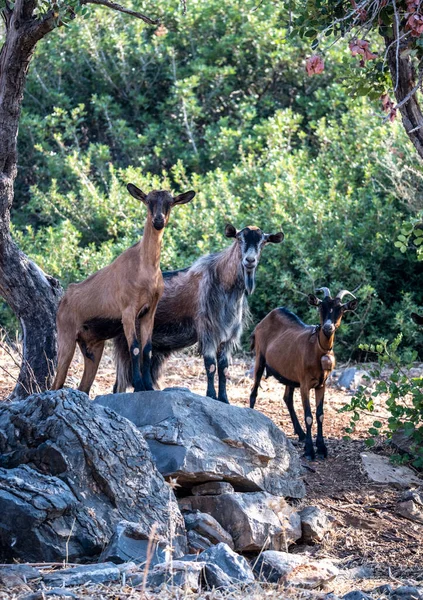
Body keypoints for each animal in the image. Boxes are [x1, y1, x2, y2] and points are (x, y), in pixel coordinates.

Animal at [51, 185, 195, 396]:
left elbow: (147, 349)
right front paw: (139, 385)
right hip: (66, 338)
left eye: (170, 203)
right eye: (148, 201)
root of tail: (63, 301)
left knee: (83, 387)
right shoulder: (128, 312)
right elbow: (134, 348)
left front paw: (148, 386)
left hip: (93, 347)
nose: (158, 221)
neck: (145, 268)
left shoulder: (148, 312)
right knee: (55, 383)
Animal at [250, 288, 360, 462]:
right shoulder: (304, 384)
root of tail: (265, 319)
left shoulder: (322, 384)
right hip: (260, 357)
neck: (318, 349)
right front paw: (310, 451)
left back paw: (300, 434)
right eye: (321, 306)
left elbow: (320, 415)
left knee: (287, 398)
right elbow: (309, 416)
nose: (328, 327)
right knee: (254, 392)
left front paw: (322, 448)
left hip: (288, 374)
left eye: (340, 309)